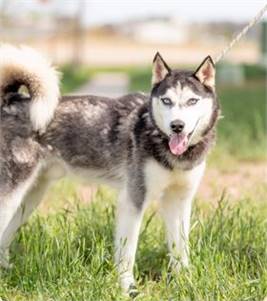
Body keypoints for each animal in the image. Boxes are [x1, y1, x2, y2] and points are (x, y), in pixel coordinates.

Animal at [0, 45, 220, 292]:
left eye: (192, 101)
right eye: (166, 100)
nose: (177, 126)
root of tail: (10, 102)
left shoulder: (178, 201)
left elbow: (181, 248)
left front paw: (185, 282)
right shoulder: (133, 199)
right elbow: (127, 252)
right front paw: (128, 288)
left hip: (29, 199)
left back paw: (6, 270)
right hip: (11, 196)